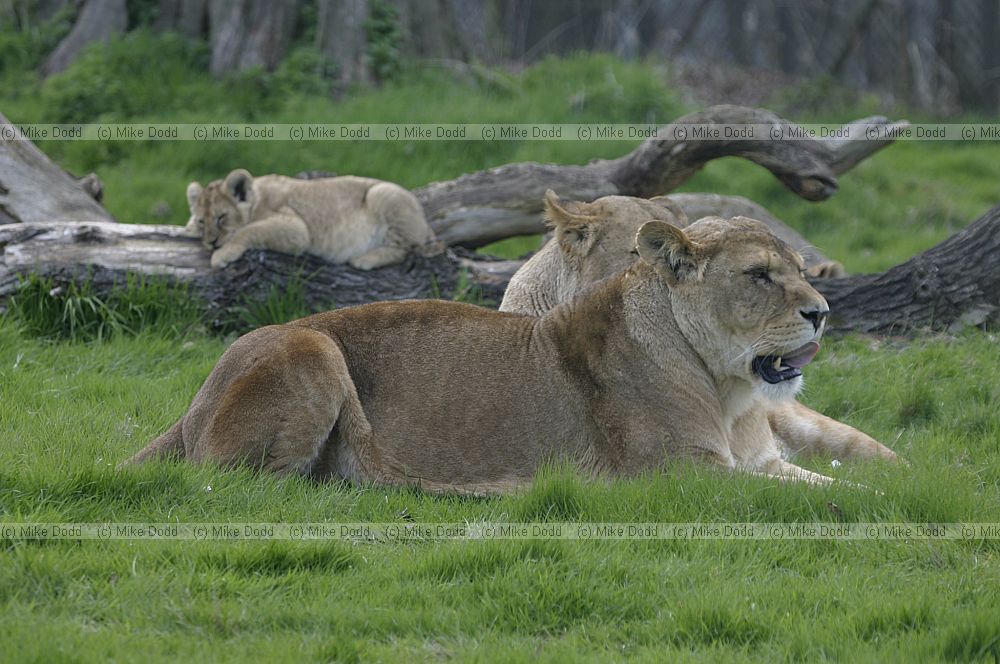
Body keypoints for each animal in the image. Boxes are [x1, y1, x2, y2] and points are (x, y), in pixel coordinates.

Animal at [184, 169, 436, 270]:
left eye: (221, 217)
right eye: (202, 221)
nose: (211, 243)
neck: (256, 197)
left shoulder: (297, 229)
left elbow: (249, 230)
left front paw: (223, 254)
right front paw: (189, 228)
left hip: (381, 193)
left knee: (407, 247)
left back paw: (364, 259)